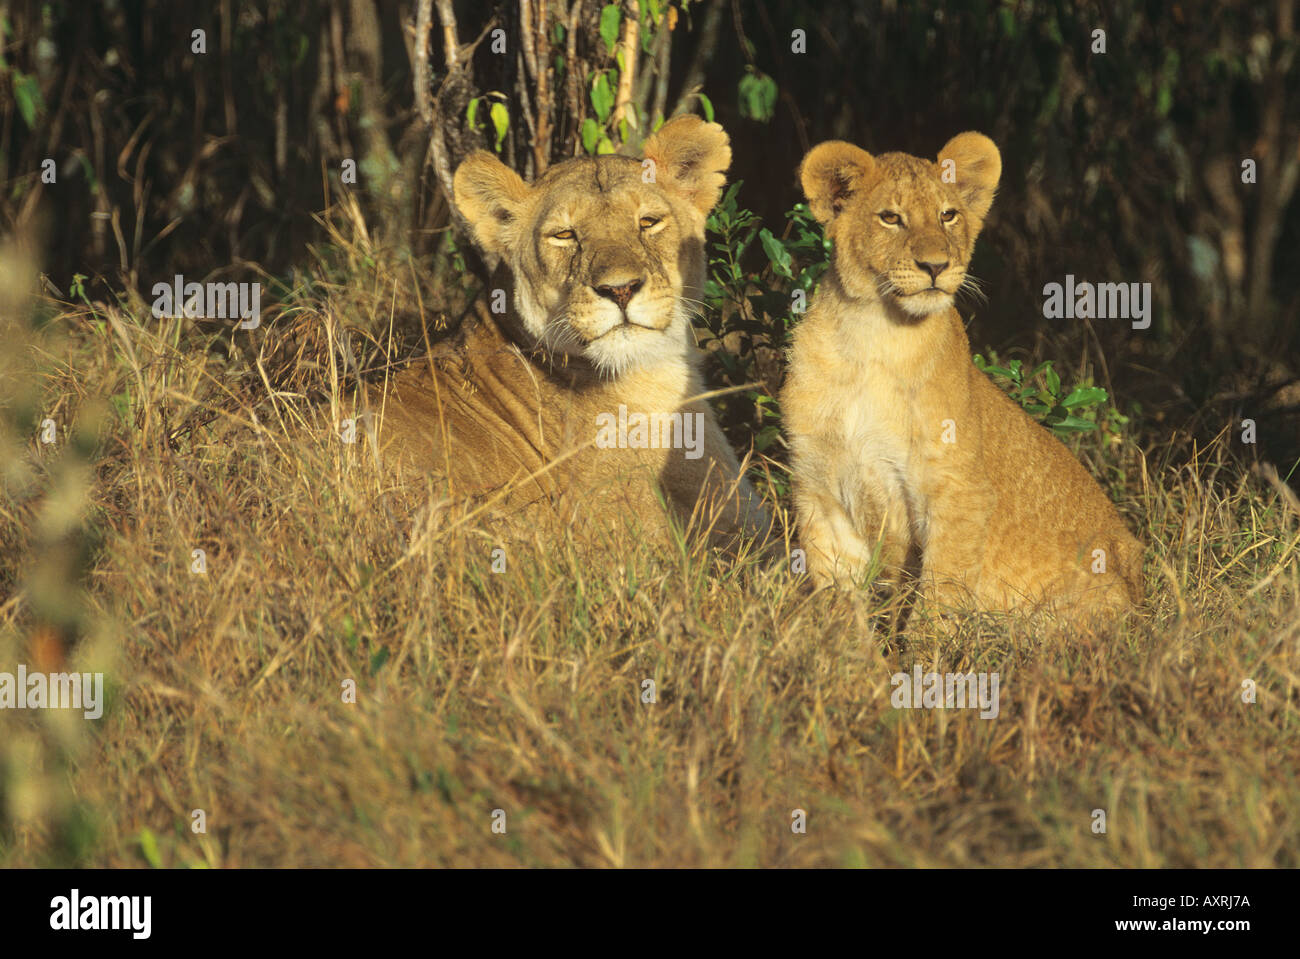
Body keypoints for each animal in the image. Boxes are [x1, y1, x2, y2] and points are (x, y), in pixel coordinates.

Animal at [781, 132, 1142, 625]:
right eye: (890, 218)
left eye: (947, 215)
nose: (936, 265)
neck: (875, 337)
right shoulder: (820, 486)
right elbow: (838, 595)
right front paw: (842, 645)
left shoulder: (959, 490)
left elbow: (939, 596)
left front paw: (924, 646)